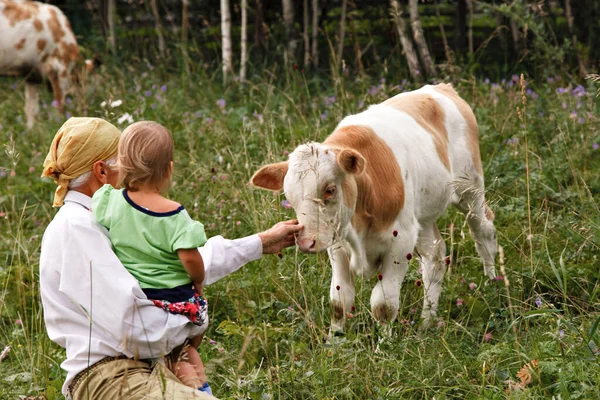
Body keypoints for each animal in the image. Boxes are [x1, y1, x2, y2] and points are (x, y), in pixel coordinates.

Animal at [0, 0, 90, 128]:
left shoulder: (32, 75)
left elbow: (31, 110)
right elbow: (59, 105)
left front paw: (31, 130)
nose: (85, 111)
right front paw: (58, 123)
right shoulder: (60, 70)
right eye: (82, 82)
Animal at [251, 83, 500, 332]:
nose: (305, 242)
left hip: (470, 189)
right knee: (435, 258)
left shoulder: (400, 242)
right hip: (422, 217)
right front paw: (334, 339)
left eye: (330, 189)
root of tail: (441, 87)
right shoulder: (337, 243)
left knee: (483, 231)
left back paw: (491, 283)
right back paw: (426, 323)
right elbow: (339, 302)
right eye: (289, 196)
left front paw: (386, 341)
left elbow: (383, 305)